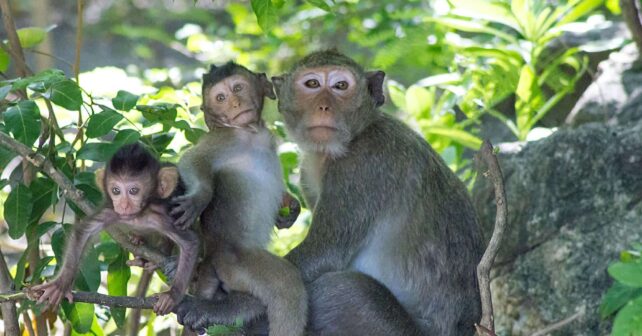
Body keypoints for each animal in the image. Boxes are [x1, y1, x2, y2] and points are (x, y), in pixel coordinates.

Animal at [31, 144, 196, 316]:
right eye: (116, 190)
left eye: (133, 191)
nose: (123, 205)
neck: (136, 216)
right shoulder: (110, 211)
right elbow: (83, 233)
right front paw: (60, 285)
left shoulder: (161, 217)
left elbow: (189, 243)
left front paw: (172, 296)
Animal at [172, 62, 308, 334]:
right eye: (220, 98)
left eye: (237, 88)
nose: (235, 104)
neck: (251, 133)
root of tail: (212, 256)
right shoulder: (225, 139)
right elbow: (193, 159)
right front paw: (200, 197)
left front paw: (290, 207)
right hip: (237, 263)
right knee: (286, 287)